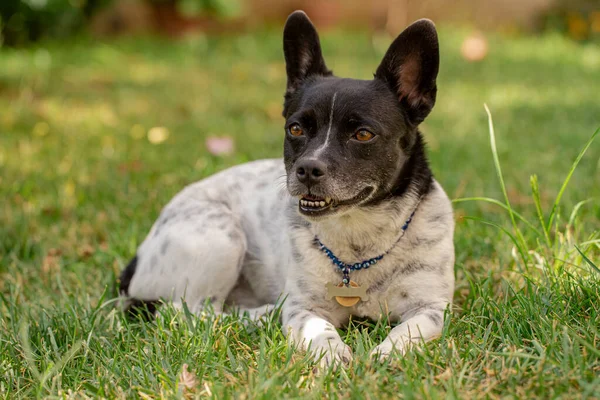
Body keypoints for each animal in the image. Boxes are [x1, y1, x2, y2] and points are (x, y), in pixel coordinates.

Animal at [118, 10, 454, 368]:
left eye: (363, 134)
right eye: (295, 129)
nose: (307, 169)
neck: (359, 238)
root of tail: (141, 252)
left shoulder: (431, 308)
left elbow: (408, 331)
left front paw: (385, 354)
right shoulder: (303, 308)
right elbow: (318, 329)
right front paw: (332, 355)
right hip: (220, 235)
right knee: (191, 312)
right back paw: (263, 314)